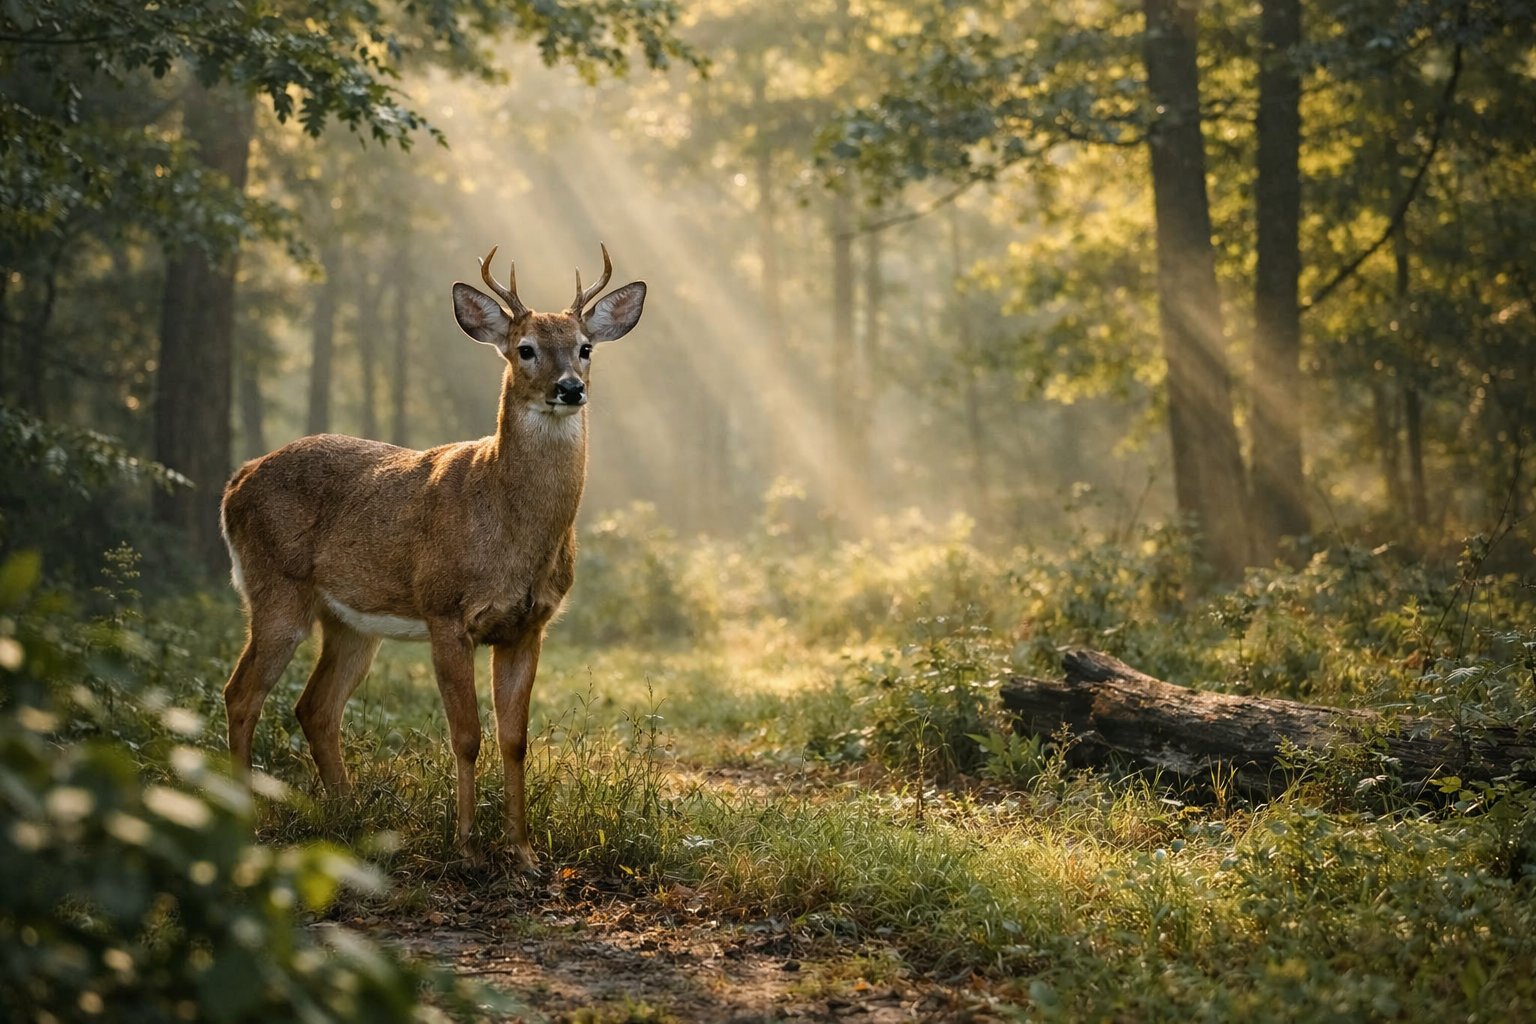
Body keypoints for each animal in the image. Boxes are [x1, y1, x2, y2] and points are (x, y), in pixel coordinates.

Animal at [218, 243, 645, 870]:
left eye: (585, 347)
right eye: (526, 348)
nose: (570, 388)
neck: (509, 530)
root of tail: (237, 481)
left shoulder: (529, 625)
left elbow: (515, 740)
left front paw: (524, 853)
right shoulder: (445, 610)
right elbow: (465, 736)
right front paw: (466, 846)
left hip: (350, 623)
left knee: (314, 707)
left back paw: (349, 814)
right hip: (274, 588)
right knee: (242, 693)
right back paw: (243, 820)